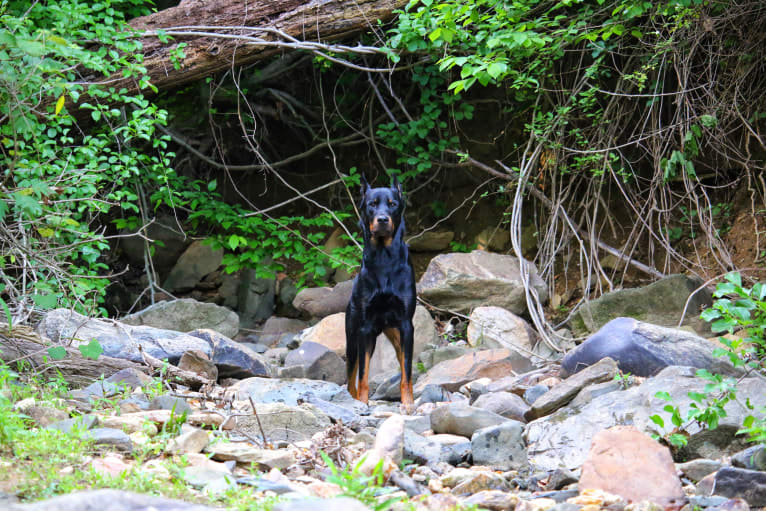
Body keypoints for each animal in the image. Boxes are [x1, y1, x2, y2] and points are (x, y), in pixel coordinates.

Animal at [348, 175, 420, 412]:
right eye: (372, 204)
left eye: (393, 204)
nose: (382, 219)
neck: (384, 258)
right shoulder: (365, 329)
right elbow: (363, 374)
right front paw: (362, 403)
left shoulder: (406, 326)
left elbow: (406, 373)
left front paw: (408, 403)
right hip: (353, 338)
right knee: (350, 377)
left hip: (396, 336)